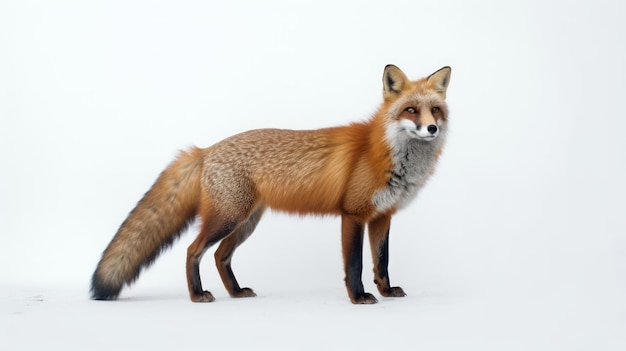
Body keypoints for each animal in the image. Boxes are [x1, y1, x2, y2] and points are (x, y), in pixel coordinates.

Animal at [91, 66, 448, 306]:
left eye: (436, 110)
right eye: (410, 110)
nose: (432, 128)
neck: (385, 154)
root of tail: (206, 150)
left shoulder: (383, 216)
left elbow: (382, 261)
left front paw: (386, 291)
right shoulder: (353, 214)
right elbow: (355, 264)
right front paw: (359, 297)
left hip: (247, 222)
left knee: (220, 255)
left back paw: (236, 292)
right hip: (228, 218)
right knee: (194, 250)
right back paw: (197, 294)